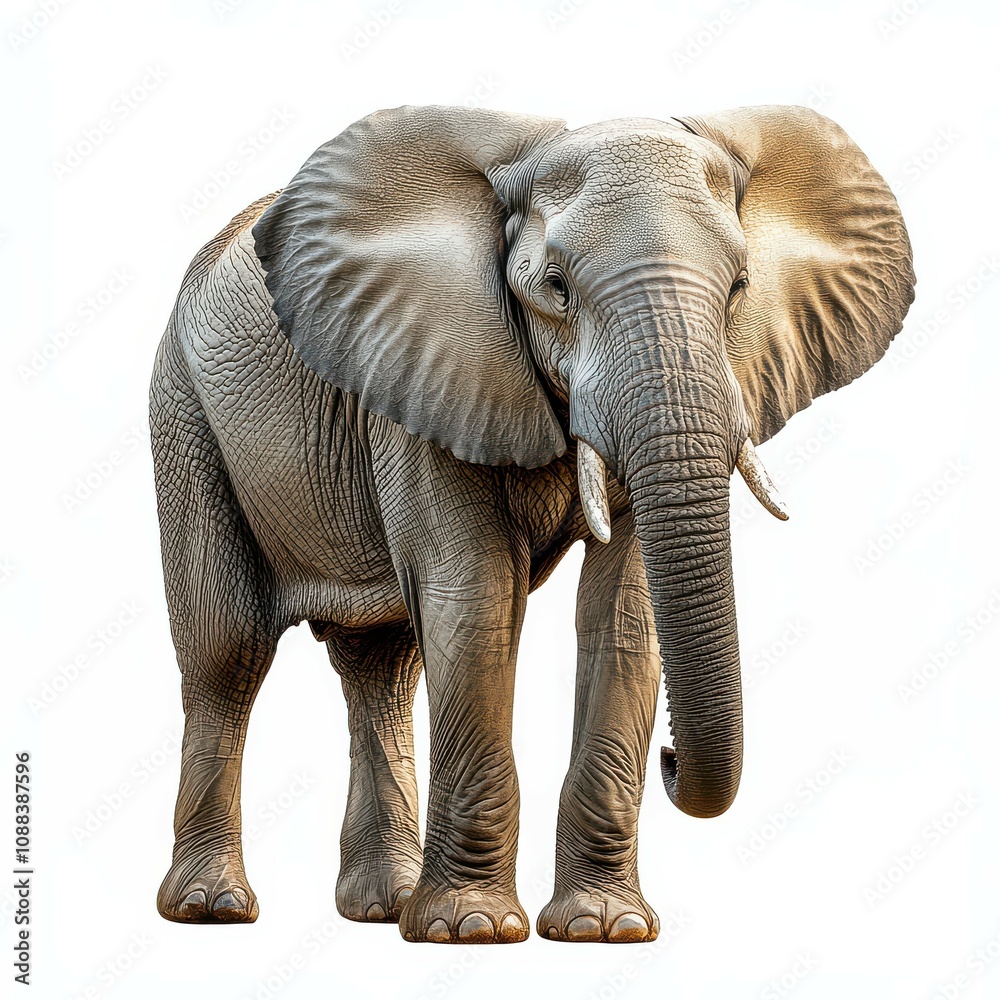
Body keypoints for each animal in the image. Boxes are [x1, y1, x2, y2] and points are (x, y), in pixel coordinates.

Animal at [149, 103, 914, 943]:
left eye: (740, 286)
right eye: (556, 287)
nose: (672, 759)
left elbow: (623, 612)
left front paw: (606, 929)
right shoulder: (424, 364)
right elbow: (476, 596)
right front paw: (471, 930)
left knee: (382, 664)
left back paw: (383, 908)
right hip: (183, 411)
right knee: (229, 652)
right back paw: (212, 909)